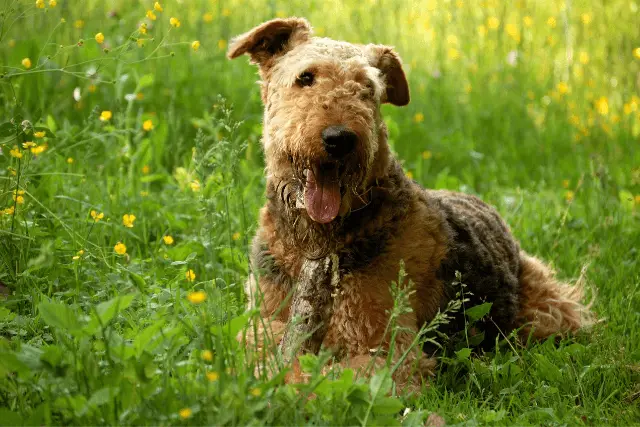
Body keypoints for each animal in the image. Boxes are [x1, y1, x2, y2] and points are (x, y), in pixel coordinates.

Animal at [228, 16, 592, 386]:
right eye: (305, 77)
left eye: (368, 87)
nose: (340, 138)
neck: (316, 243)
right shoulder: (262, 320)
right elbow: (262, 345)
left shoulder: (388, 352)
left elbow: (321, 375)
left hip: (546, 313)